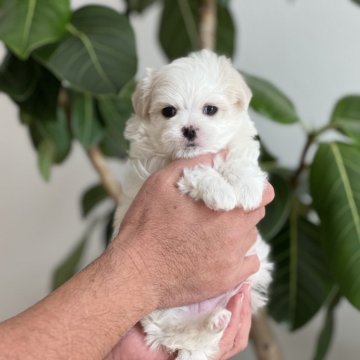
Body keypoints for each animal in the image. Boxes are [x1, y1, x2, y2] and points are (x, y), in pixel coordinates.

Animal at [114, 49, 272, 358]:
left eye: (210, 110)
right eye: (169, 112)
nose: (188, 129)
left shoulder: (238, 143)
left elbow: (238, 157)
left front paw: (247, 187)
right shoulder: (156, 167)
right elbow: (194, 169)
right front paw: (221, 193)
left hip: (242, 288)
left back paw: (217, 319)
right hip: (162, 307)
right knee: (177, 329)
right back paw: (213, 321)